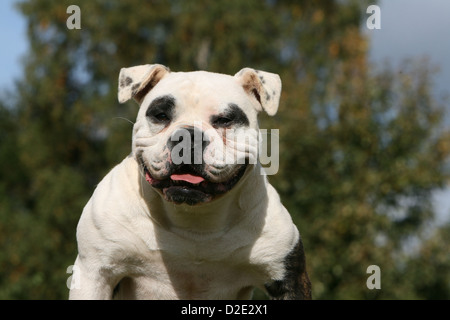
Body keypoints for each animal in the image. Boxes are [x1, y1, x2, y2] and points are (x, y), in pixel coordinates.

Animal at [68, 63, 312, 298]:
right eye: (161, 116)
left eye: (225, 120)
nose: (188, 136)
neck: (194, 220)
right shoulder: (94, 273)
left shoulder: (288, 277)